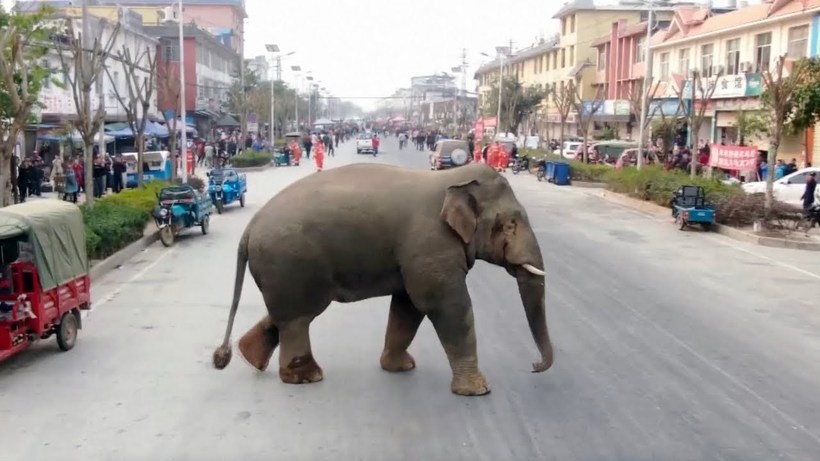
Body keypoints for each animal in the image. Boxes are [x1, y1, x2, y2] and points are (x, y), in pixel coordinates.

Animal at [213, 162, 556, 396]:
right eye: (510, 224)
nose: (534, 367)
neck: (453, 178)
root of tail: (248, 229)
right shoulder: (431, 243)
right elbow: (443, 303)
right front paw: (477, 390)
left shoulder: (417, 255)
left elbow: (408, 305)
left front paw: (400, 368)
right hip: (292, 262)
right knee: (299, 317)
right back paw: (307, 377)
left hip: (283, 271)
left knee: (285, 314)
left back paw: (249, 357)